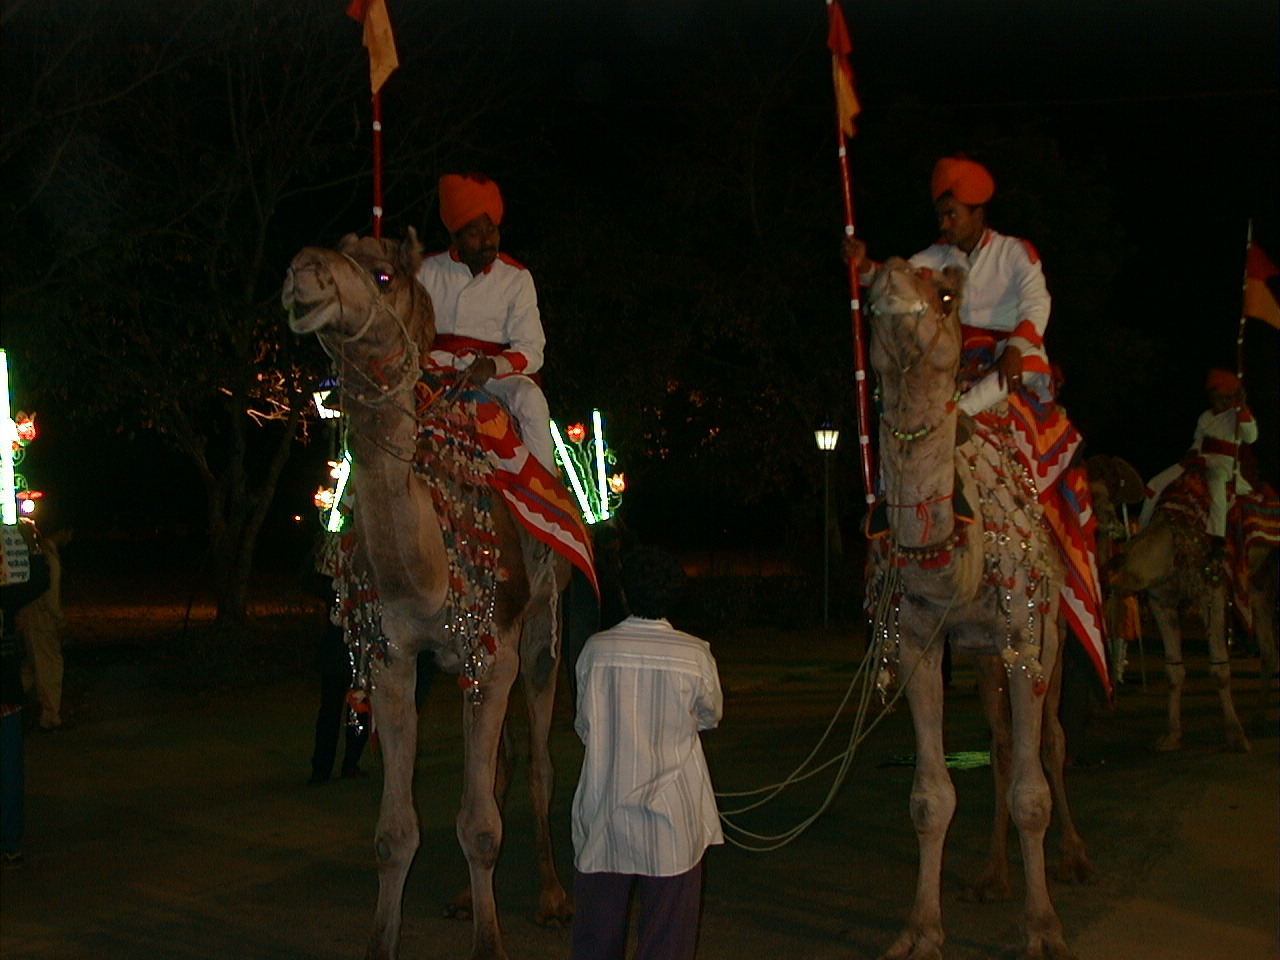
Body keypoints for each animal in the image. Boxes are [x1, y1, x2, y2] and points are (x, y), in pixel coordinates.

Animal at [288, 231, 578, 960]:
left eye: (382, 274)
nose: (304, 269)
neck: (426, 569)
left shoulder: (495, 648)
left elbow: (480, 826)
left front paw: (491, 943)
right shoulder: (393, 657)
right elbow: (395, 835)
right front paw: (383, 941)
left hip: (542, 630)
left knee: (539, 763)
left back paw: (553, 900)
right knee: (502, 763)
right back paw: (462, 900)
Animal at [865, 257, 1085, 960]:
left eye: (944, 295)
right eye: (868, 285)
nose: (891, 280)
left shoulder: (1027, 629)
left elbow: (1033, 795)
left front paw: (1042, 928)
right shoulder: (918, 640)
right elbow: (931, 798)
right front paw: (920, 929)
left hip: (1053, 635)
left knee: (1052, 742)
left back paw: (1072, 858)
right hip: (989, 656)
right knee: (1002, 743)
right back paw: (992, 876)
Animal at [1105, 478, 1274, 757]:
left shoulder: (1212, 591)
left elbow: (1219, 669)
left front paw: (1236, 736)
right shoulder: (1161, 600)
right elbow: (1173, 671)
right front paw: (1170, 737)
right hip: (1259, 584)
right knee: (1269, 651)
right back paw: (1259, 721)